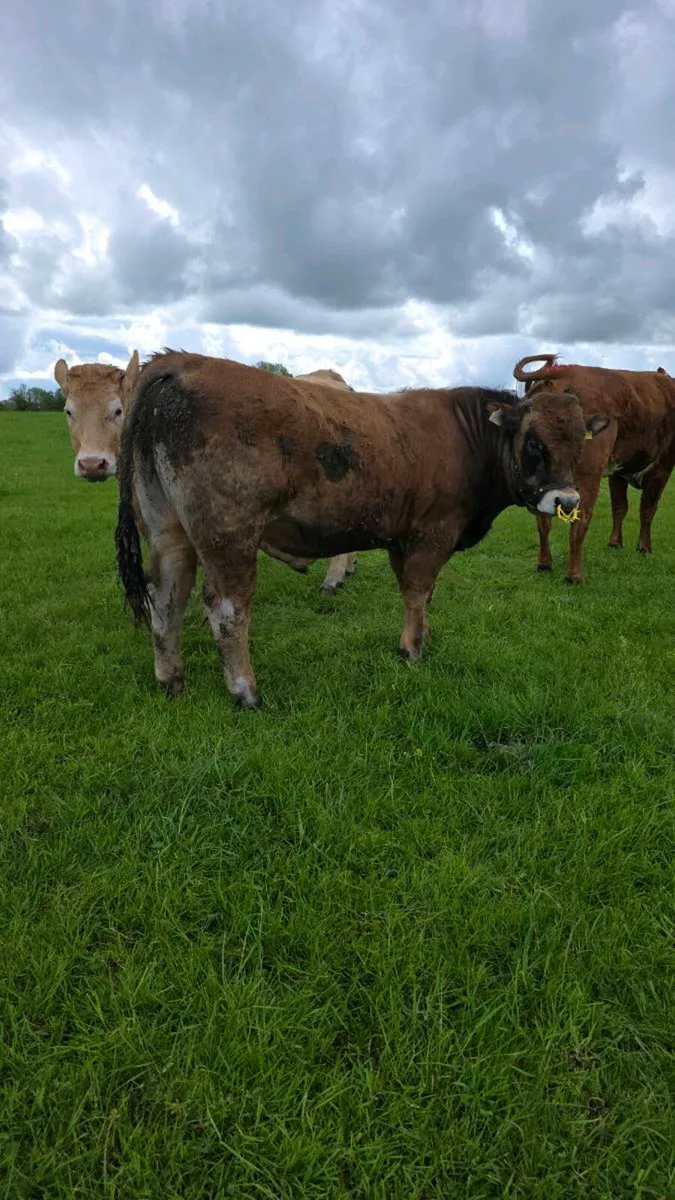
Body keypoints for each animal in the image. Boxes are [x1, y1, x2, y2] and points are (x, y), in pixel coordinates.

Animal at [114, 349, 608, 706]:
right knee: (226, 608)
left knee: (166, 598)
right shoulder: (432, 534)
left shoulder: (401, 537)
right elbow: (418, 591)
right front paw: (412, 650)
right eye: (534, 441)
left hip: (168, 530)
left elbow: (419, 595)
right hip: (228, 537)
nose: (567, 501)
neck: (465, 437)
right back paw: (246, 692)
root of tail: (186, 362)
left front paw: (420, 639)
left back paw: (171, 680)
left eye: (579, 439)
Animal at [514, 354, 675, 582]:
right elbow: (647, 509)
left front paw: (615, 543)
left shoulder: (618, 472)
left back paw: (545, 564)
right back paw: (574, 576)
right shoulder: (662, 468)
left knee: (542, 521)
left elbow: (620, 507)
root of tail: (565, 370)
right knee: (579, 521)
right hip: (587, 476)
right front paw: (644, 548)